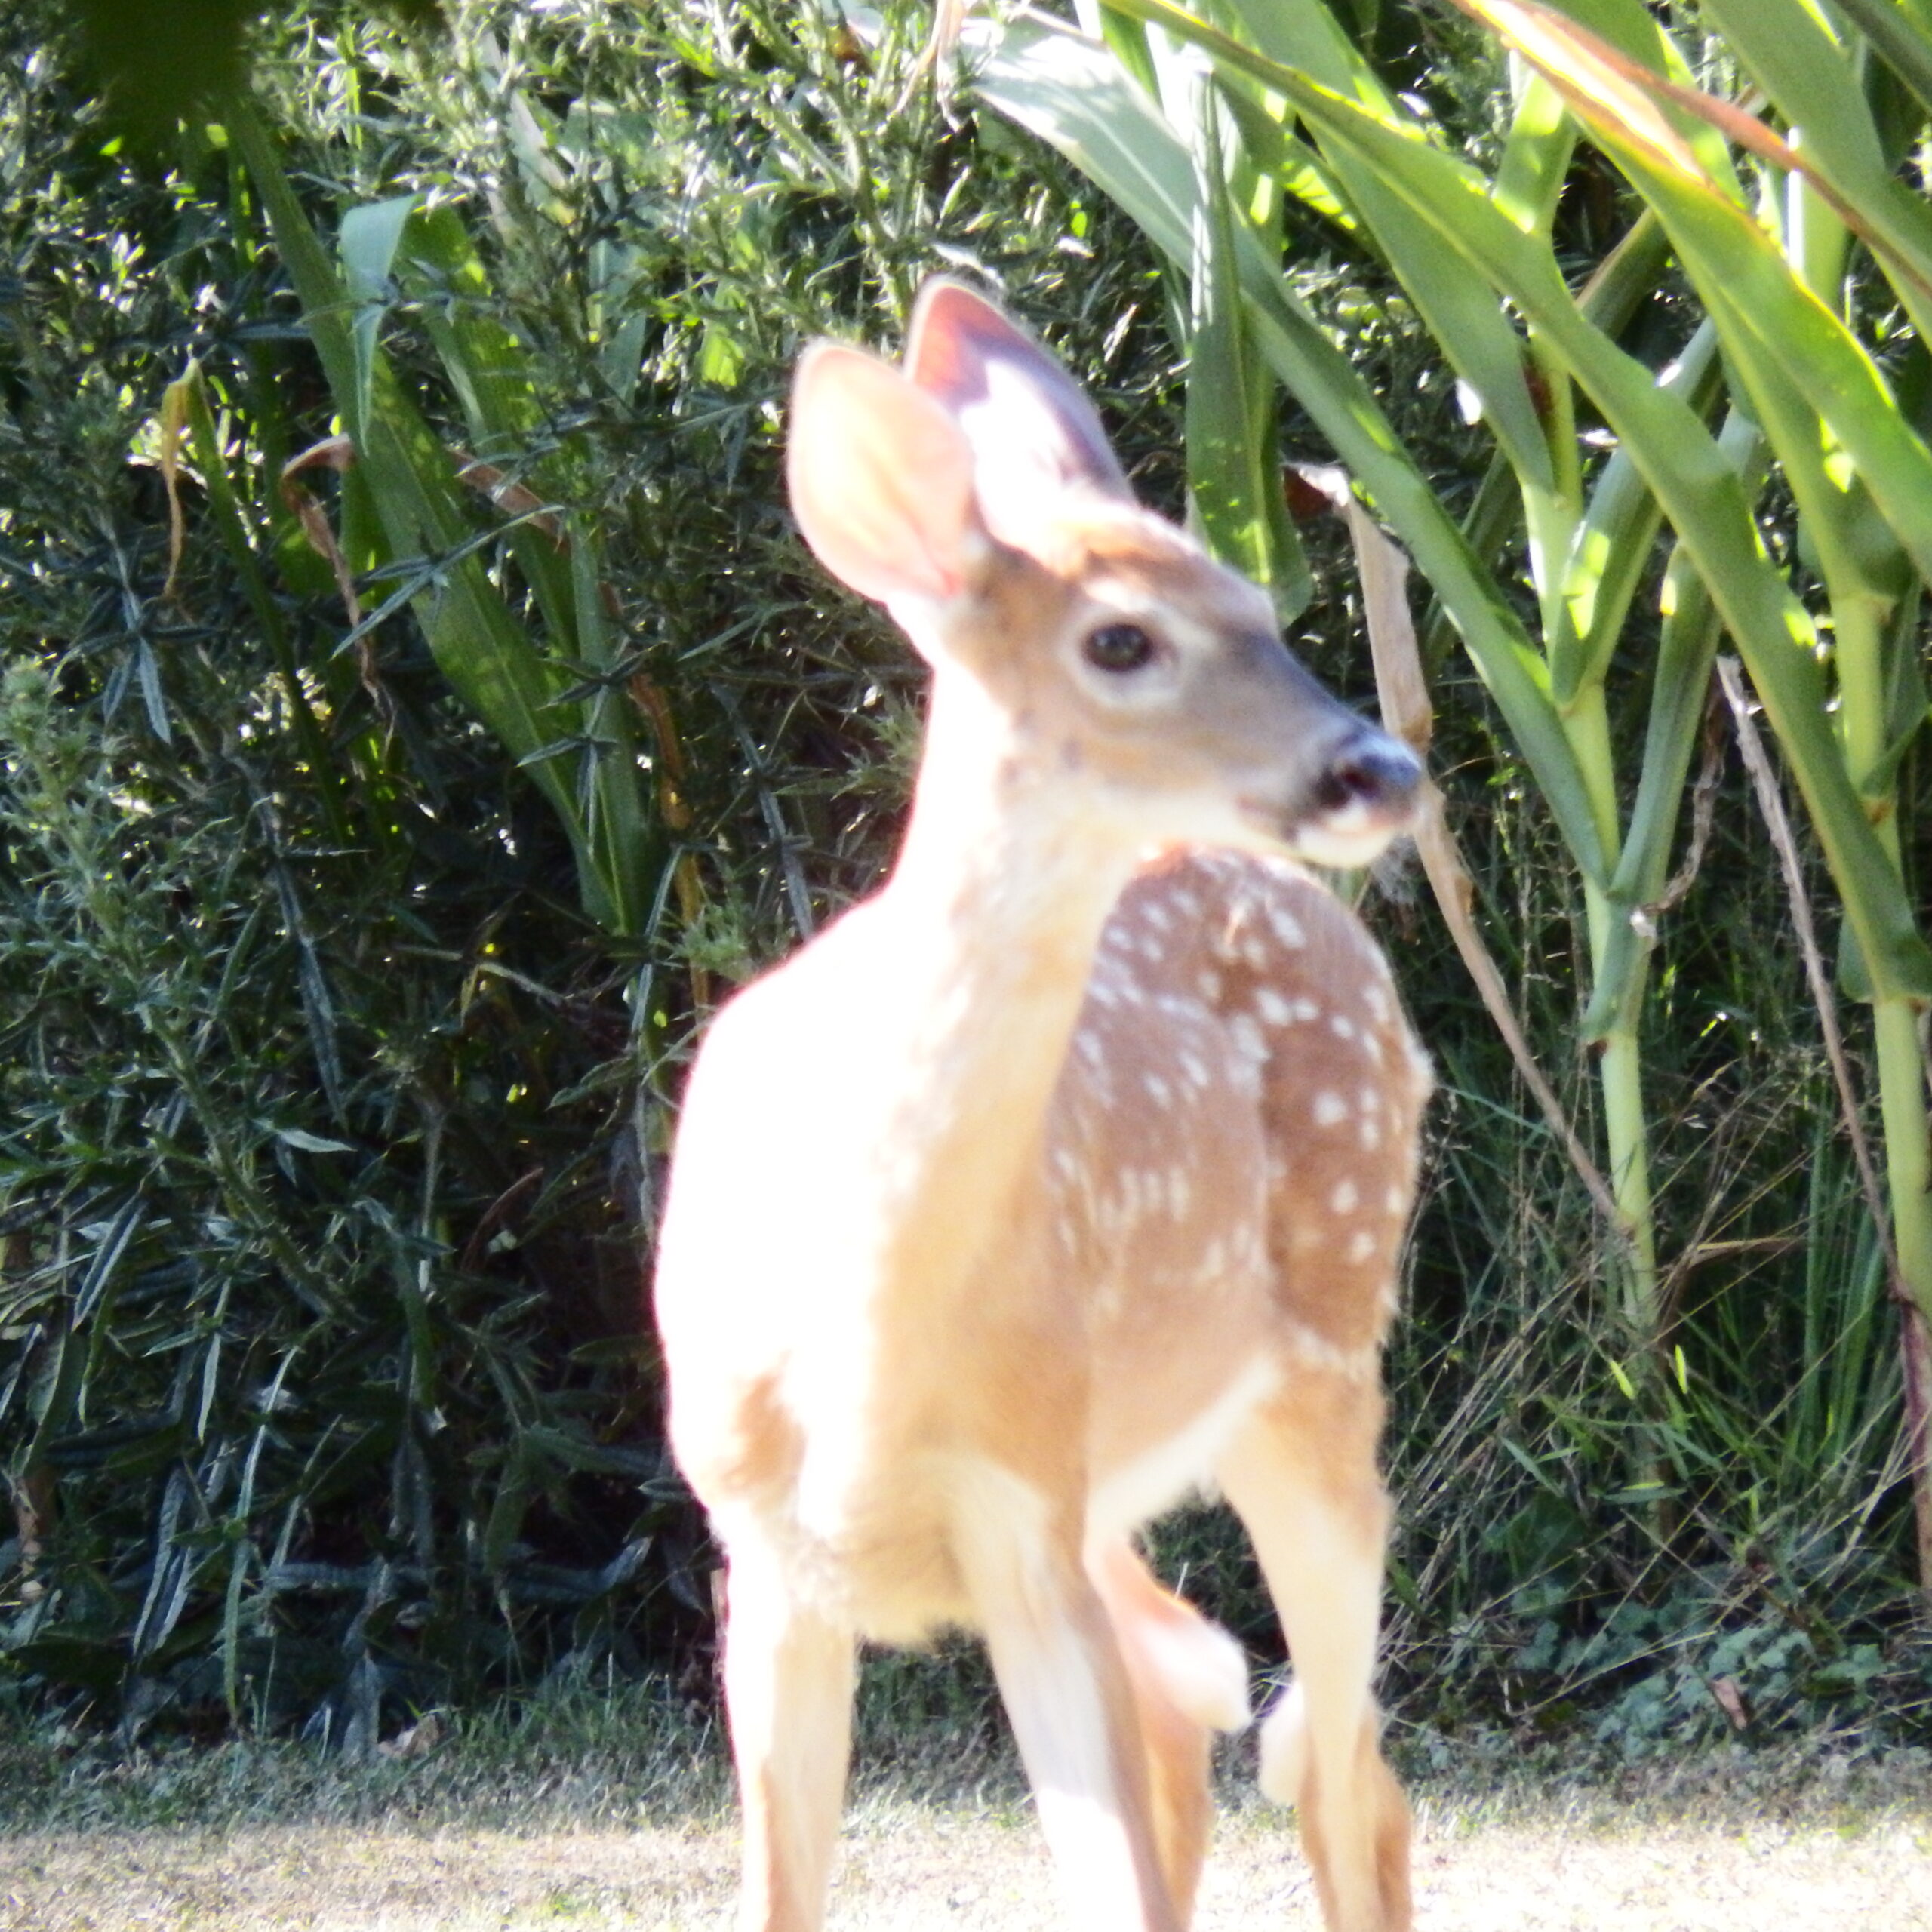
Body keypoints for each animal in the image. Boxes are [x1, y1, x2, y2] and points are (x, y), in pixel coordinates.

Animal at [652, 278, 1428, 1932]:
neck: (861, 1350)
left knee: (1337, 1773)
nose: (1380, 767)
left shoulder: (1021, 1504)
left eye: (1263, 606)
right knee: (1203, 1719)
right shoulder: (760, 1542)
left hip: (1320, 1372)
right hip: (1124, 1486)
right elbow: (783, 1893)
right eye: (1122, 637)